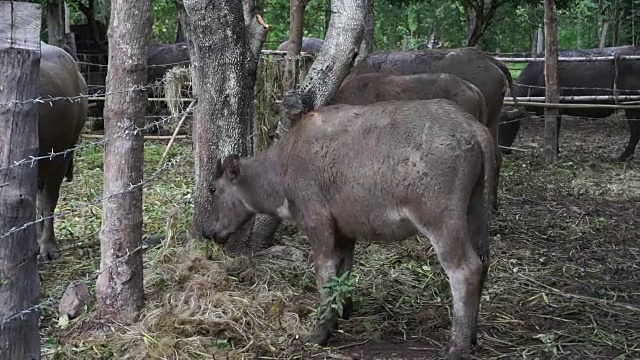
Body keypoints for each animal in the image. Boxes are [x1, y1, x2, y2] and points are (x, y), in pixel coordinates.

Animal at [500, 45, 640, 160]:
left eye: (507, 125)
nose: (502, 150)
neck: (540, 75)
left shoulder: (556, 109)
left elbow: (555, 131)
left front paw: (556, 152)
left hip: (632, 106)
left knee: (635, 131)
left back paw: (623, 156)